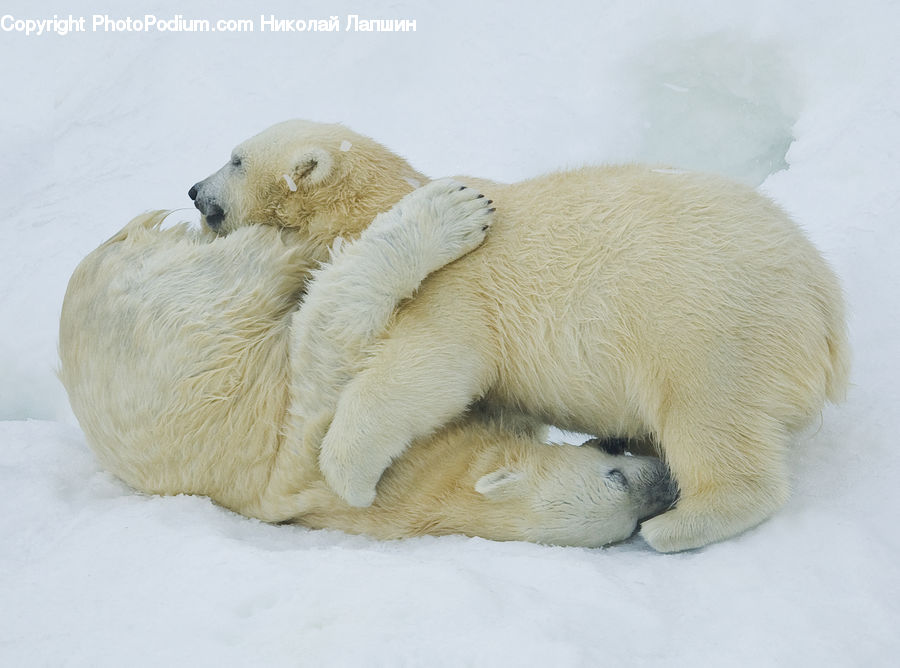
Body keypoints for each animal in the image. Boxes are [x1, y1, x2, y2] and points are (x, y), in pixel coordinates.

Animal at [59, 181, 677, 549]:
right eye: (616, 476)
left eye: (633, 523)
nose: (669, 482)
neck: (423, 483)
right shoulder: (303, 446)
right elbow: (329, 339)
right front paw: (454, 211)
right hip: (193, 304)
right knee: (274, 265)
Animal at [188, 119, 850, 552]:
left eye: (236, 158)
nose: (194, 190)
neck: (383, 203)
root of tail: (825, 305)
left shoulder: (455, 289)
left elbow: (424, 372)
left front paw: (349, 477)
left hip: (711, 324)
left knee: (710, 418)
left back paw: (678, 522)